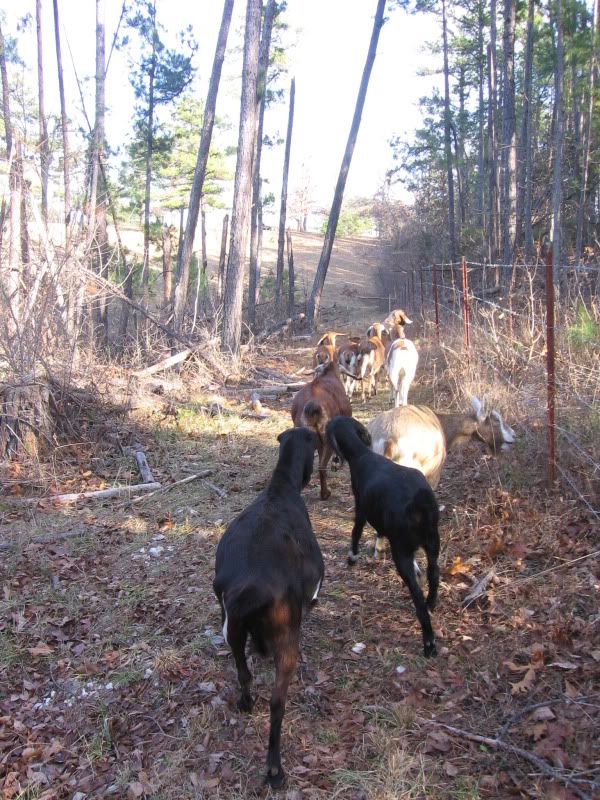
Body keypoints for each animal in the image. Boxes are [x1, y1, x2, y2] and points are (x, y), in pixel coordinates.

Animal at [213, 427, 325, 789]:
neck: (281, 488)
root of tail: (249, 589)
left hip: (232, 632)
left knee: (243, 672)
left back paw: (246, 701)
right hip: (287, 645)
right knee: (277, 705)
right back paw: (275, 769)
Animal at [326, 416, 440, 657]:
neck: (362, 455)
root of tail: (421, 502)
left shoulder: (361, 508)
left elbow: (356, 531)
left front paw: (352, 558)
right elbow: (380, 532)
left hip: (402, 551)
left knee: (416, 594)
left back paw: (428, 642)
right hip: (432, 541)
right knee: (434, 573)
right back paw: (431, 603)